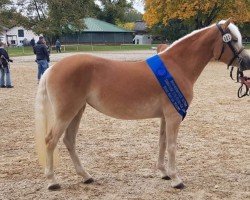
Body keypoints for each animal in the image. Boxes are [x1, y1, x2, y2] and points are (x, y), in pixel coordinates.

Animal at [34, 19, 250, 191]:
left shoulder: (165, 116)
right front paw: (176, 179)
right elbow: (172, 145)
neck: (178, 66)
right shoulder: (174, 115)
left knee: (69, 141)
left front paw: (164, 173)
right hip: (66, 113)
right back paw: (52, 181)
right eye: (233, 39)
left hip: (77, 110)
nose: (247, 62)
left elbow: (162, 142)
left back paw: (86, 176)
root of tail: (53, 68)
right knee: (50, 141)